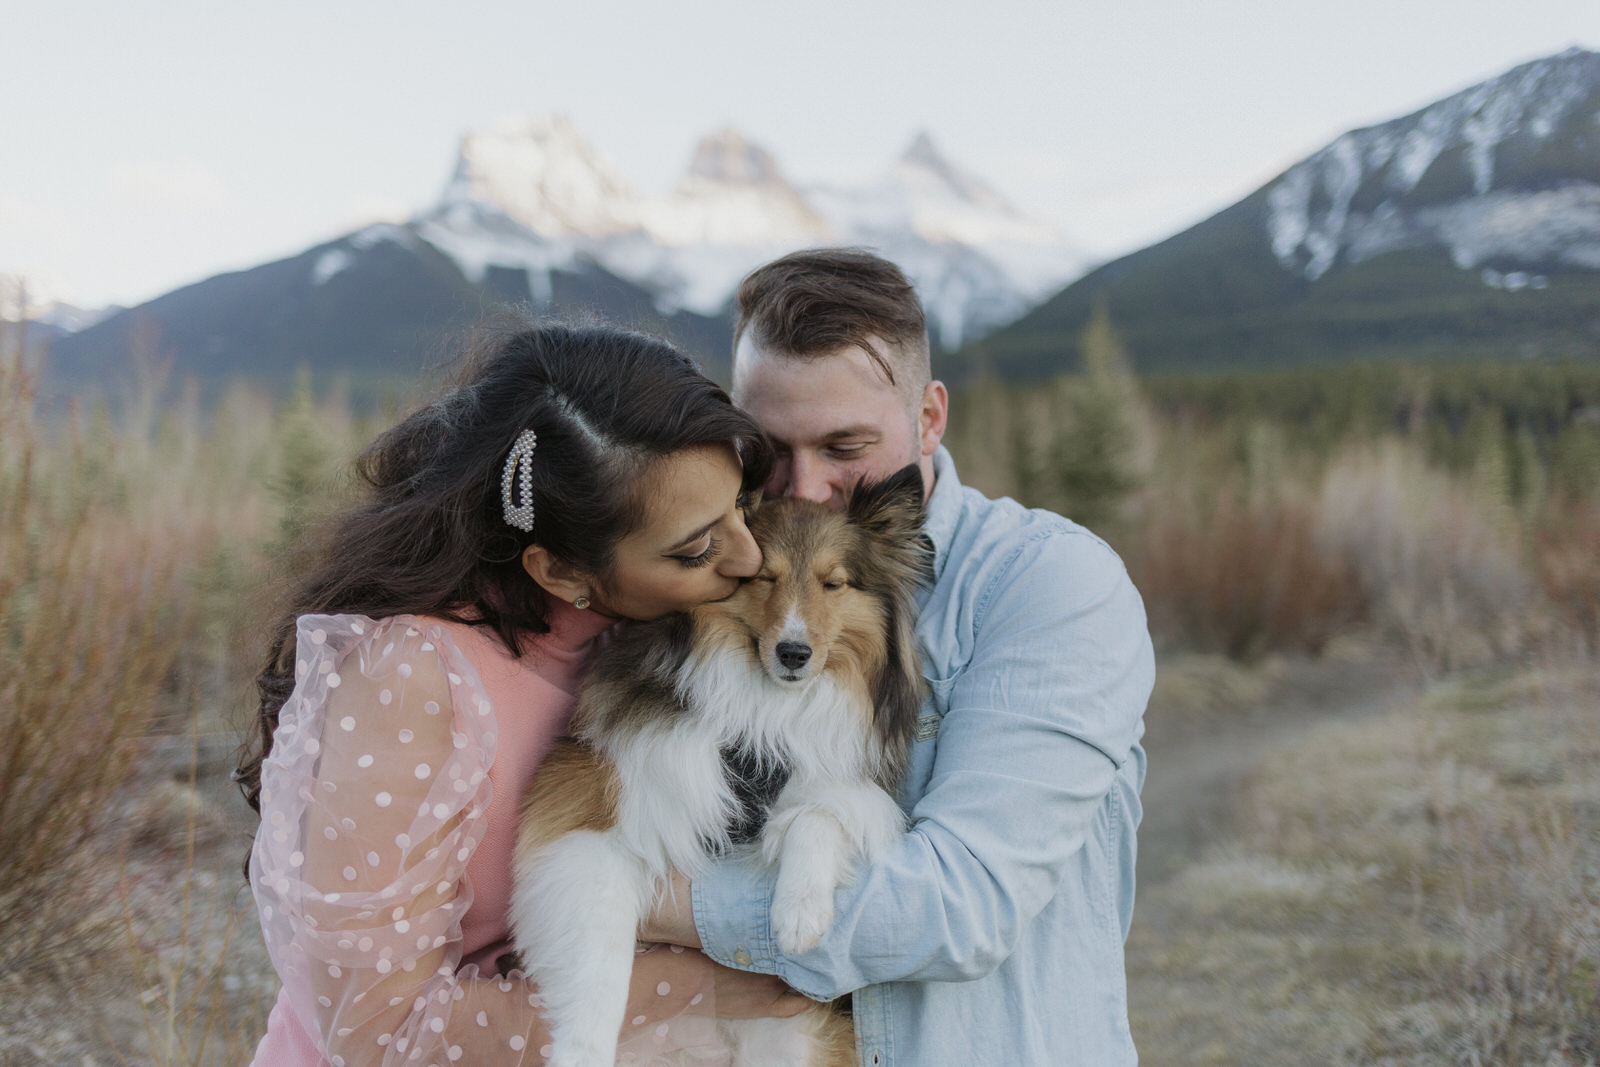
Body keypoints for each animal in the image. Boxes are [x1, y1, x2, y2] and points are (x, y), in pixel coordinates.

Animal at [512, 467, 934, 1067]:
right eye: (760, 577)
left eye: (833, 584)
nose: (793, 654)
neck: (767, 710)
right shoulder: (587, 808)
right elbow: (600, 959)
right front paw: (580, 1049)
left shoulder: (854, 789)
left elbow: (817, 816)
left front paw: (799, 915)